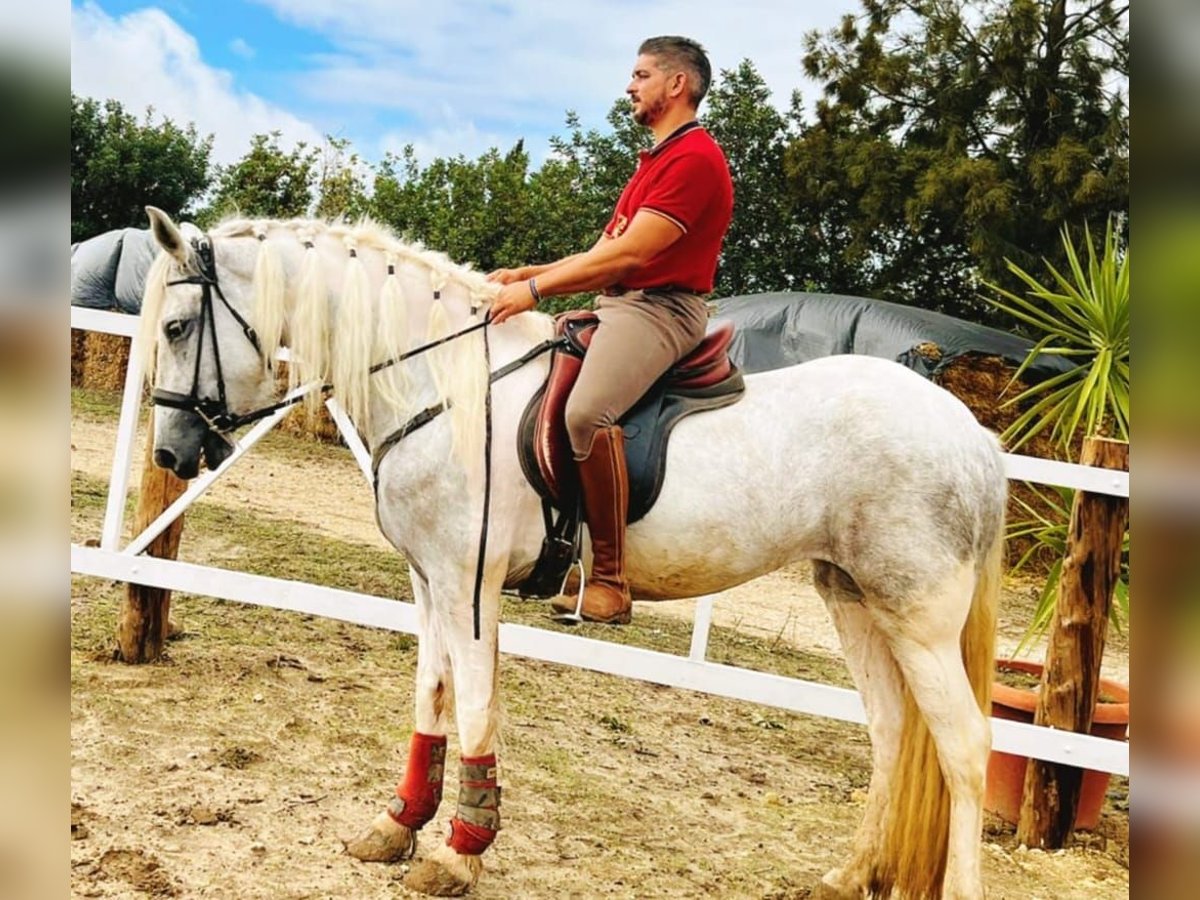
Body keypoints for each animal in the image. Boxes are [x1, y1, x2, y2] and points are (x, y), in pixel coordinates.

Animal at [138, 207, 1003, 897]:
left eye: (177, 329)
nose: (172, 454)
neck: (443, 384)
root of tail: (972, 433)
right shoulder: (427, 580)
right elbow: (430, 697)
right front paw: (399, 825)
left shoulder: (469, 586)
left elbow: (475, 706)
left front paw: (460, 852)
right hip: (851, 596)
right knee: (892, 732)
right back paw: (848, 876)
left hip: (918, 615)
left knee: (965, 747)